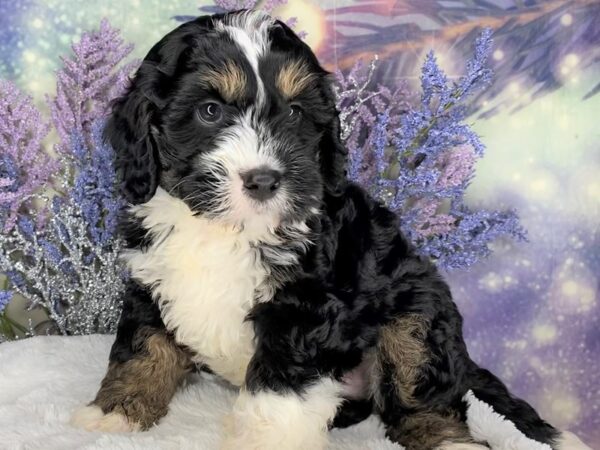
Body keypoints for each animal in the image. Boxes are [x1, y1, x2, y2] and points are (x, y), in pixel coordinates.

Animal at [70, 7, 584, 450]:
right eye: (210, 111)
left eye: (295, 113)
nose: (264, 179)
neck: (226, 228)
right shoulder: (151, 278)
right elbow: (143, 347)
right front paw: (116, 411)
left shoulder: (306, 305)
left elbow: (278, 389)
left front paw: (266, 443)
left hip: (418, 311)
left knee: (422, 393)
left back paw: (450, 441)